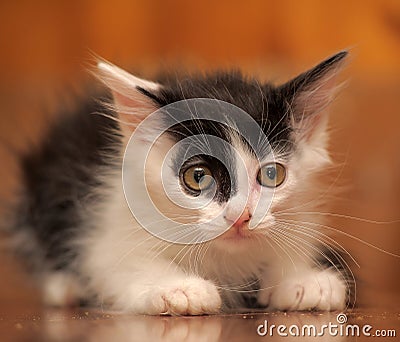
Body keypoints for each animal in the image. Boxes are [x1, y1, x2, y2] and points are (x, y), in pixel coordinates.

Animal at [7, 50, 350, 316]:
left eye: (271, 175)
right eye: (197, 177)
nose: (240, 216)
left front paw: (303, 279)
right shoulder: (108, 227)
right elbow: (116, 263)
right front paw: (177, 288)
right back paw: (63, 287)